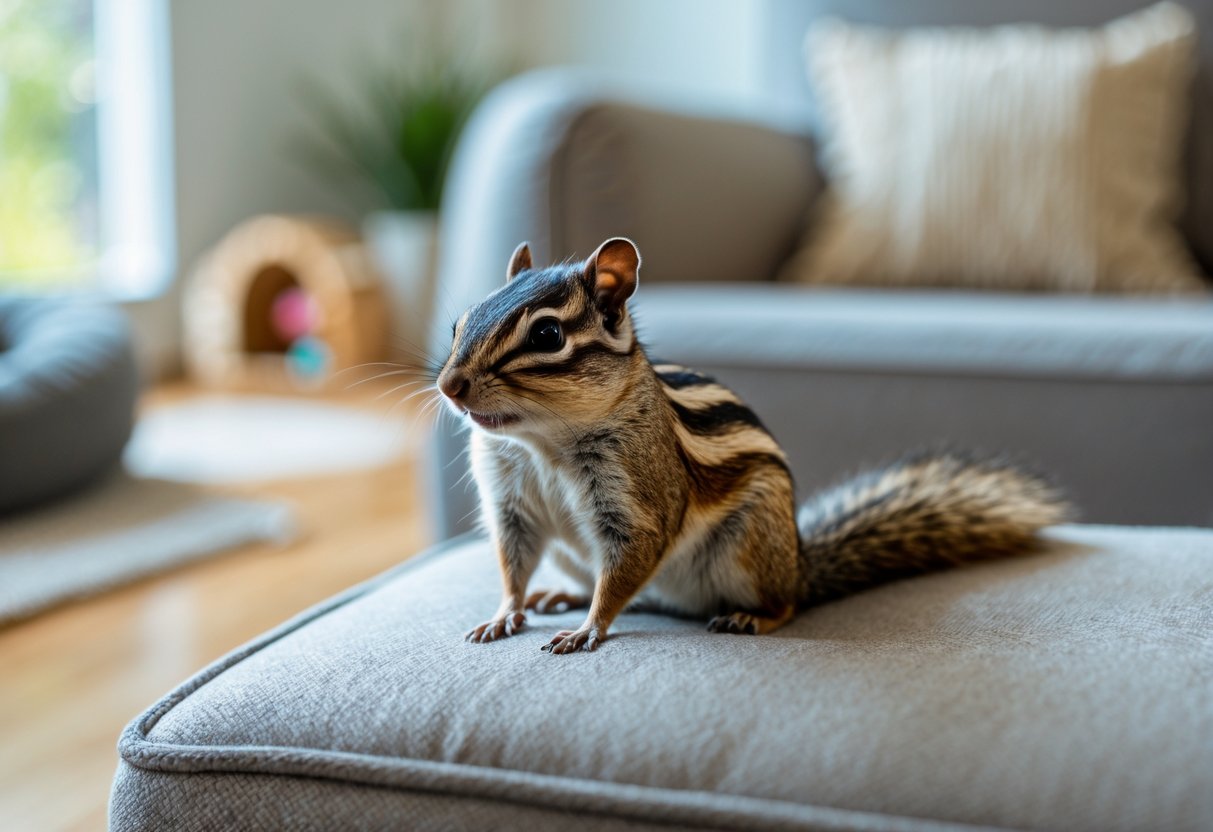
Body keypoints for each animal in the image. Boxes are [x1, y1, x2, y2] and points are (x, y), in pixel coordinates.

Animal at [436, 237, 1069, 654]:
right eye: (460, 321)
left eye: (547, 335)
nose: (449, 386)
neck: (541, 441)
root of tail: (799, 566)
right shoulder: (510, 506)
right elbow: (512, 565)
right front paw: (506, 614)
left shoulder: (638, 500)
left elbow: (625, 567)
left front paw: (590, 627)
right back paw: (562, 596)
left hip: (750, 546)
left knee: (783, 605)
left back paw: (751, 619)